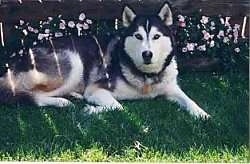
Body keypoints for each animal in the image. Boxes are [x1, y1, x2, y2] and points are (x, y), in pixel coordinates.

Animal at [0, 3, 209, 118]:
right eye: (138, 36)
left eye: (156, 37)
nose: (147, 54)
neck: (146, 76)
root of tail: (18, 58)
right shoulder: (97, 89)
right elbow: (118, 107)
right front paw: (90, 110)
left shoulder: (171, 88)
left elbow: (189, 100)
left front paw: (203, 114)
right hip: (72, 62)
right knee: (30, 95)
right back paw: (62, 102)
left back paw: (74, 95)